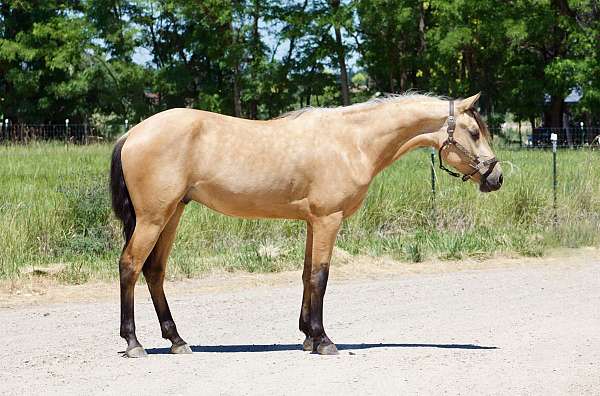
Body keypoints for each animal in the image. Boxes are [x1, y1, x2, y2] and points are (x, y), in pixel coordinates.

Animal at [109, 91, 502, 358]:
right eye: (473, 132)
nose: (496, 178)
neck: (352, 142)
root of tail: (133, 133)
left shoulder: (314, 222)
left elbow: (306, 274)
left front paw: (308, 336)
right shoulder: (328, 219)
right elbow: (321, 277)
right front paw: (323, 340)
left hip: (172, 214)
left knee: (154, 271)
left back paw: (176, 340)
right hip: (154, 218)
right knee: (130, 266)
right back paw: (134, 342)